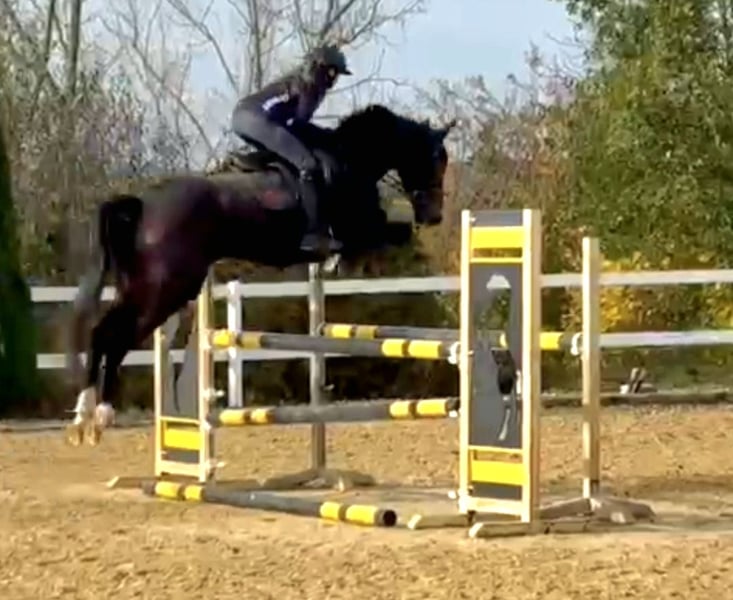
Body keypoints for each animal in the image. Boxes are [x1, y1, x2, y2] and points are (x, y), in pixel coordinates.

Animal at [65, 103, 455, 446]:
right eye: (437, 159)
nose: (435, 215)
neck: (352, 160)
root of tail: (143, 204)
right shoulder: (364, 229)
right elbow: (394, 234)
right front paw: (344, 262)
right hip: (167, 288)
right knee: (115, 337)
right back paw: (100, 413)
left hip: (140, 287)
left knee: (102, 333)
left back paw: (84, 417)